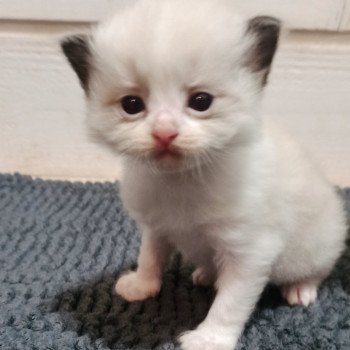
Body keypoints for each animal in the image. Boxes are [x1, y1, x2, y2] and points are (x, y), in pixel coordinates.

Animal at [61, 1, 346, 348]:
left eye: (201, 102)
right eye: (131, 105)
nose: (164, 134)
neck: (182, 179)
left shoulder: (250, 252)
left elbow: (230, 302)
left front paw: (209, 338)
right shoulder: (157, 227)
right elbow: (150, 256)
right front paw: (142, 286)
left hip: (315, 248)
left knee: (317, 270)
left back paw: (300, 289)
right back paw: (205, 274)